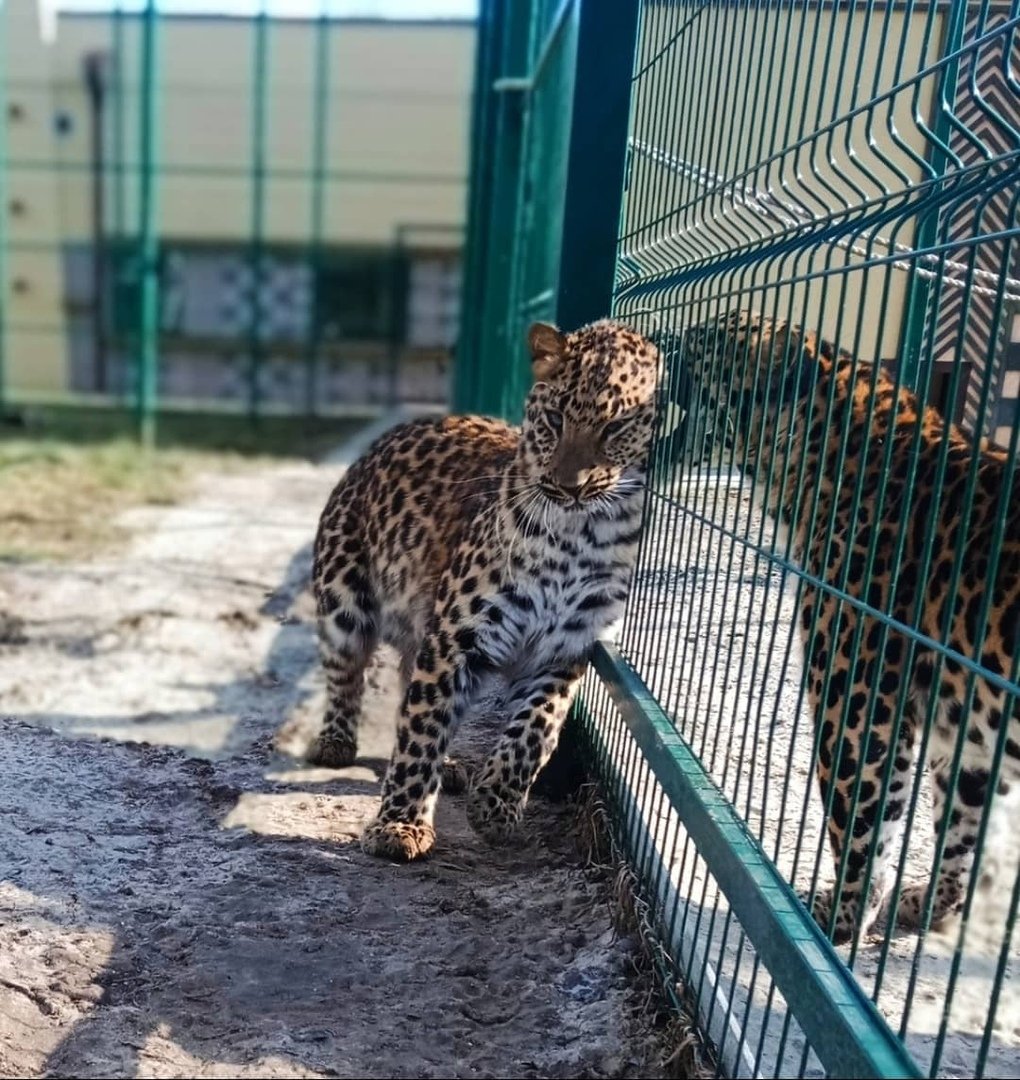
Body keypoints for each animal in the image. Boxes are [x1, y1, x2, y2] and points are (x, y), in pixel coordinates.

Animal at [311, 317, 661, 859]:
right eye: (556, 418)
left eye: (615, 428)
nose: (570, 487)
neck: (578, 535)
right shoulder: (456, 636)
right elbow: (423, 729)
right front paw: (399, 825)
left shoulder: (565, 650)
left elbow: (536, 730)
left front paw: (495, 807)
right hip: (343, 595)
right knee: (347, 671)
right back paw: (335, 742)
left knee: (408, 684)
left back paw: (452, 768)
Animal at [687, 306, 1020, 946]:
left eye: (698, 350)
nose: (658, 341)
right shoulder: (969, 736)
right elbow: (962, 829)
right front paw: (933, 904)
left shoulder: (859, 701)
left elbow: (862, 825)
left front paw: (838, 918)